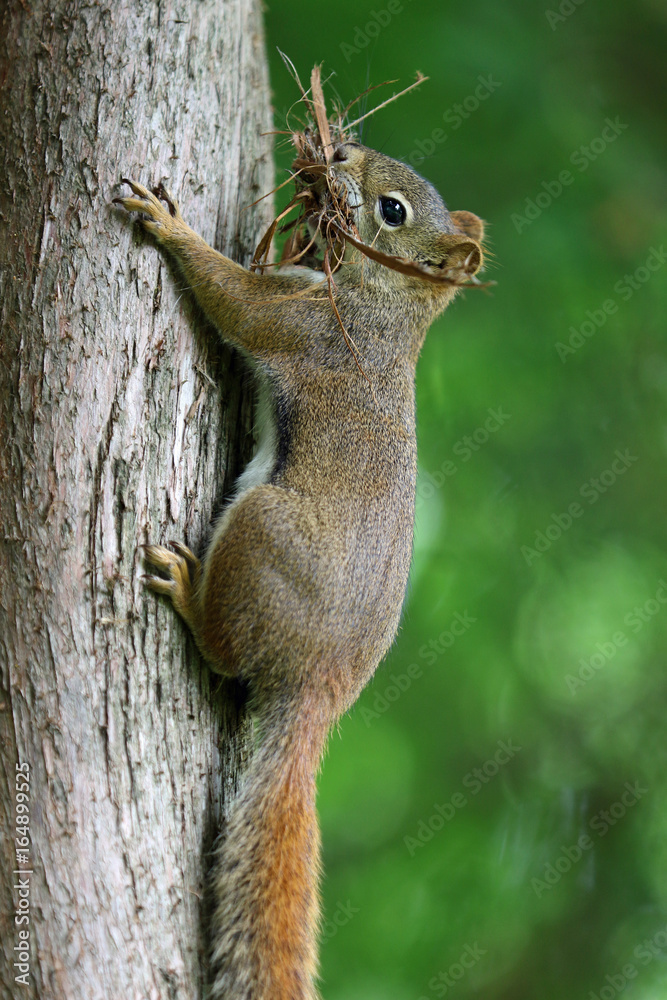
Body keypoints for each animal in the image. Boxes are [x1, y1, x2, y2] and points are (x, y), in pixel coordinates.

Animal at [115, 139, 485, 1000]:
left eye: (391, 211)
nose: (338, 148)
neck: (380, 306)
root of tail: (321, 684)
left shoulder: (305, 329)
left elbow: (234, 302)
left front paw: (169, 227)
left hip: (260, 530)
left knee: (224, 650)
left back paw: (187, 597)